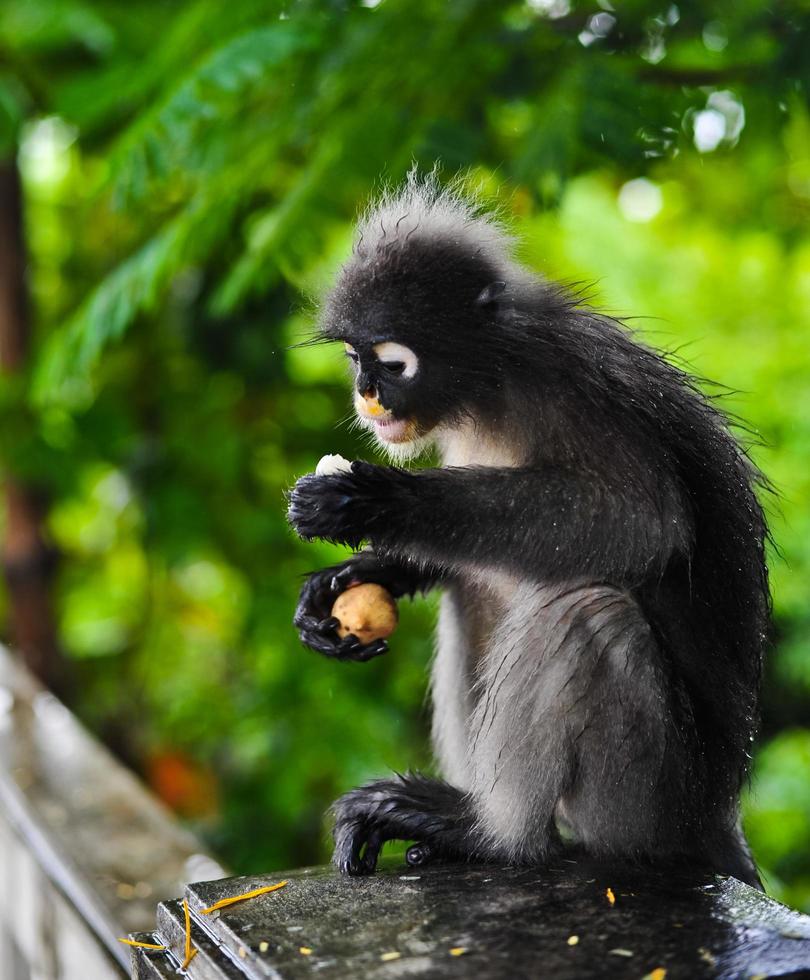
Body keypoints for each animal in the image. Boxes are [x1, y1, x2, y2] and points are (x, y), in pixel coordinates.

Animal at [288, 174, 768, 888]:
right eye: (355, 359)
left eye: (392, 365)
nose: (366, 395)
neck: (490, 385)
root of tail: (714, 817)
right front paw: (354, 577)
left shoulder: (565, 388)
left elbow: (645, 523)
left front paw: (371, 499)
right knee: (477, 586)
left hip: (647, 802)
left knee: (586, 611)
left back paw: (492, 834)